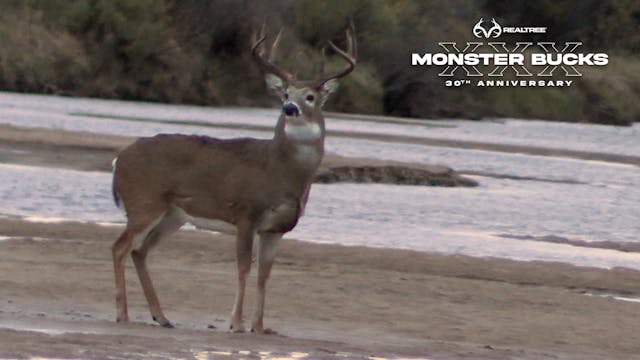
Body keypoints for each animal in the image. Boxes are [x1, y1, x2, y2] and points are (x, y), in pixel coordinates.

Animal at [109, 23, 356, 334]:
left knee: (139, 252)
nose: (289, 108)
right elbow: (243, 267)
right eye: (286, 93)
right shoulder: (245, 212)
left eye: (310, 96)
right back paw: (123, 314)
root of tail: (118, 160)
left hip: (172, 215)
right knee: (119, 247)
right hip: (144, 203)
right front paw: (236, 323)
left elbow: (265, 274)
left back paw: (162, 317)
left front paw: (260, 326)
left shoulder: (276, 228)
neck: (278, 171)